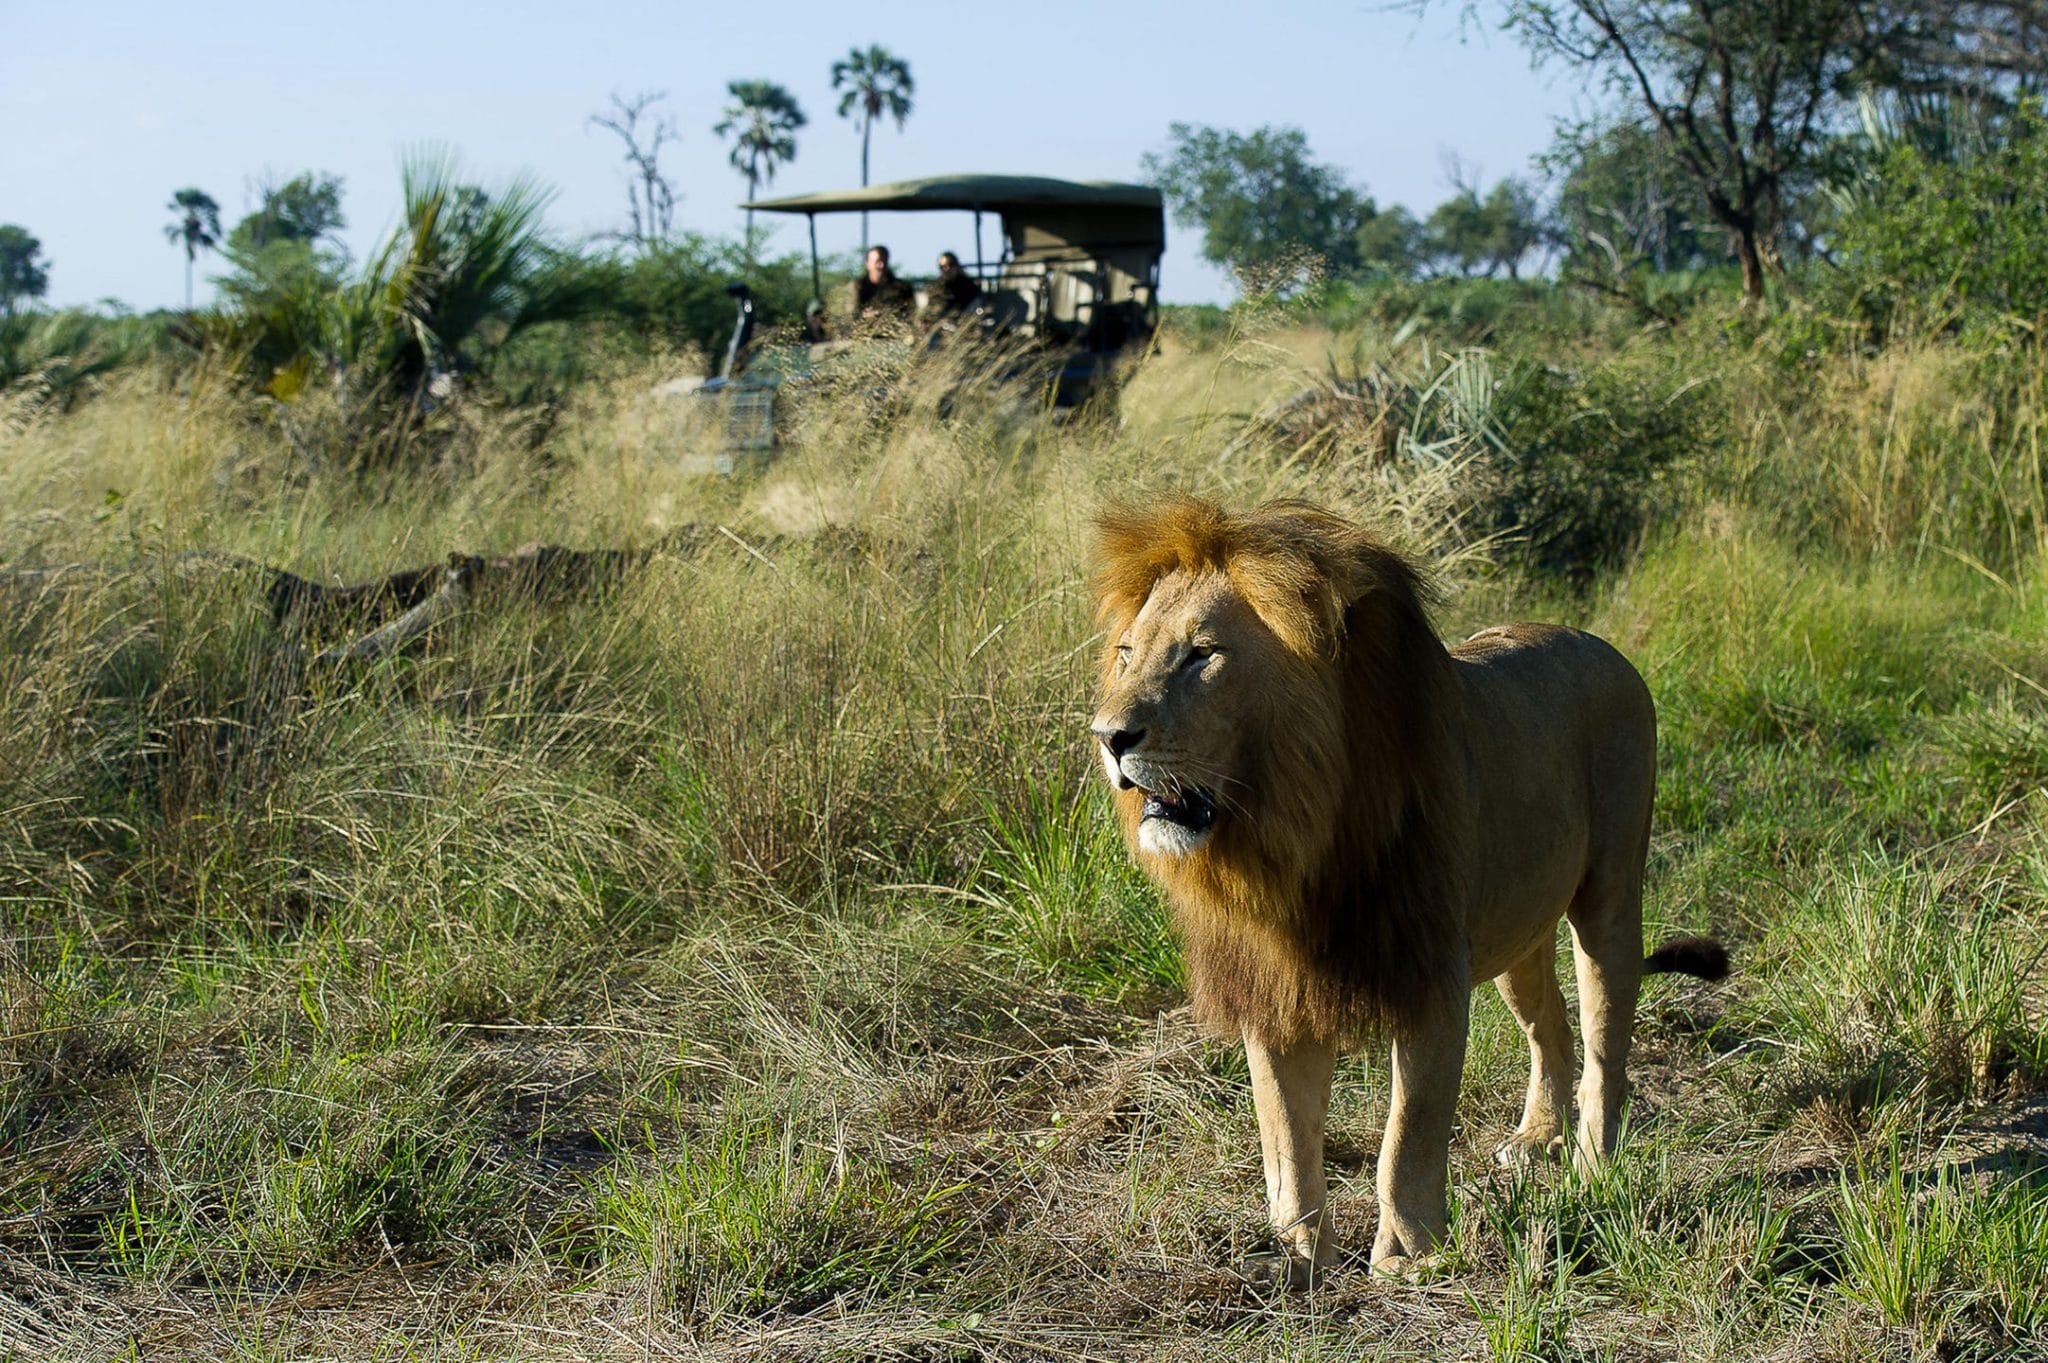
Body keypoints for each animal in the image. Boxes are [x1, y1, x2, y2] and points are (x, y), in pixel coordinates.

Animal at [1087, 497, 1726, 1282]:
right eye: (1126, 654)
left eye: (1201, 655)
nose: (1109, 736)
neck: (1291, 839)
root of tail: (1604, 647)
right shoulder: (1277, 986)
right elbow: (1286, 1136)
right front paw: (1298, 1256)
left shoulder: (1431, 974)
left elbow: (1409, 1132)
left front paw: (1408, 1257)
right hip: (1515, 932)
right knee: (1552, 1030)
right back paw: (1536, 1137)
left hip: (1608, 894)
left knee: (1607, 1046)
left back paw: (1593, 1166)